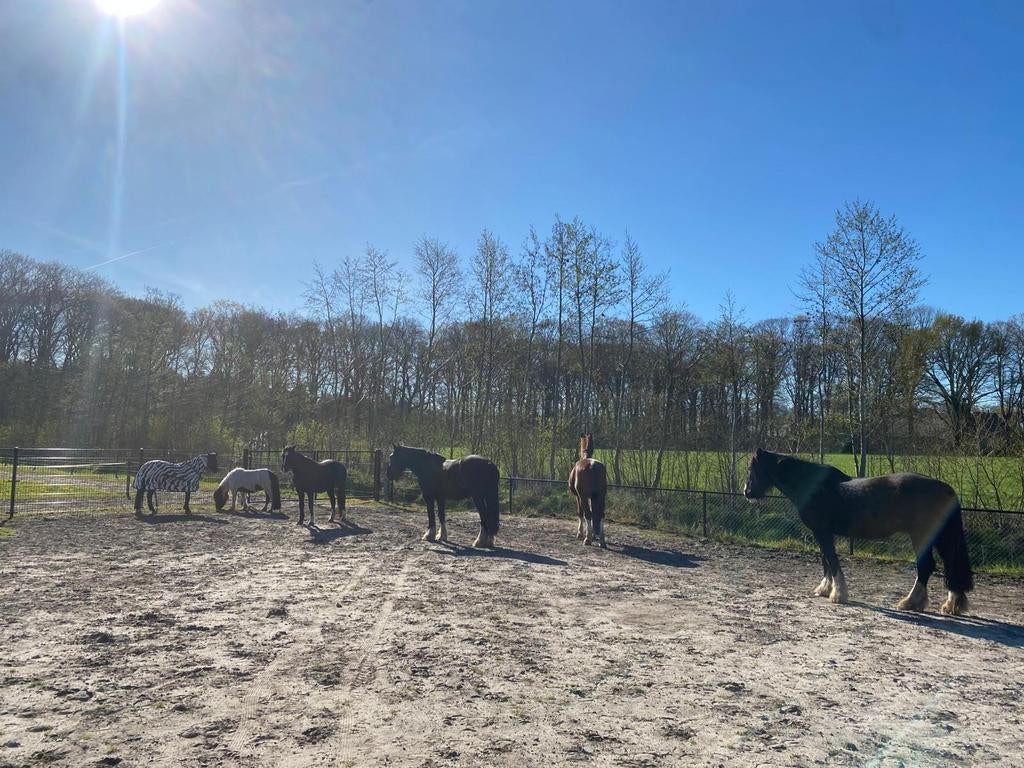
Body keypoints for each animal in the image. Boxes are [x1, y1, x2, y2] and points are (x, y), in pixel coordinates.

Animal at [743, 448, 974, 615]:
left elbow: (832, 561)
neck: (812, 486)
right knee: (950, 566)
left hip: (922, 536)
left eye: (752, 469)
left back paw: (909, 603)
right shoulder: (823, 533)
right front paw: (824, 589)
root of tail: (946, 488)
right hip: (941, 538)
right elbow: (825, 561)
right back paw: (951, 605)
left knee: (926, 567)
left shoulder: (822, 532)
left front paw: (838, 594)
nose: (747, 492)